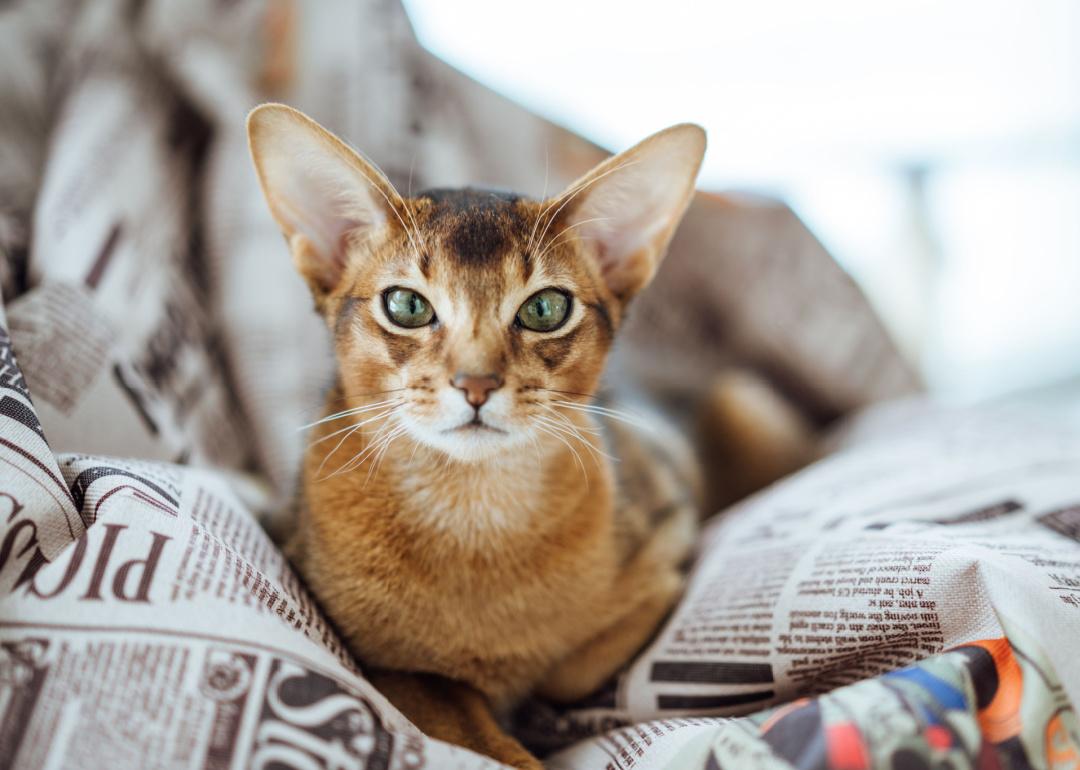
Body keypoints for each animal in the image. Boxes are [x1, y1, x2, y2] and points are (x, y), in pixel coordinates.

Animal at [246, 105, 712, 764]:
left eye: (545, 309)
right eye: (406, 306)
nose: (475, 384)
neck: (471, 513)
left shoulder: (671, 537)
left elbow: (566, 666)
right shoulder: (370, 654)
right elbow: (454, 704)